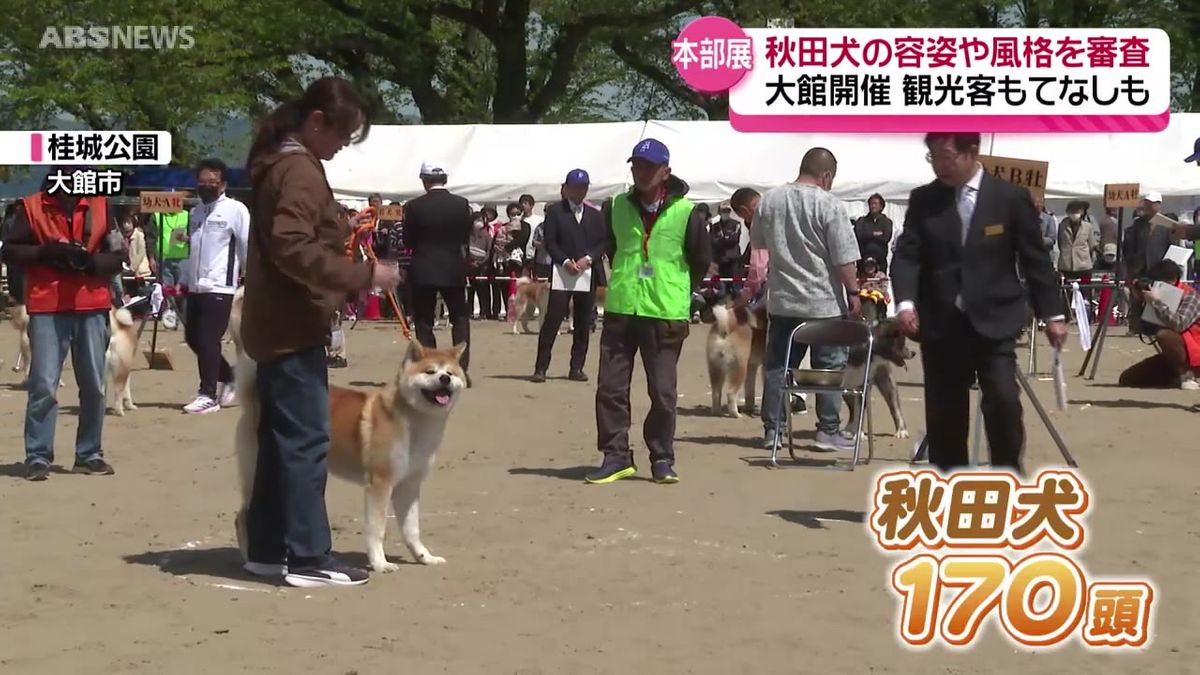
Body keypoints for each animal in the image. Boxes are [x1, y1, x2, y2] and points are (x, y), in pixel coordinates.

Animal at [231, 338, 465, 569]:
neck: (415, 421)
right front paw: (380, 563)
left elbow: (412, 529)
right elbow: (377, 529)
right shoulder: (380, 484)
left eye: (450, 373)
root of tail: (254, 397)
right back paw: (251, 559)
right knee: (242, 517)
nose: (444, 378)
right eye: (430, 371)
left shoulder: (408, 485)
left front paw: (424, 557)